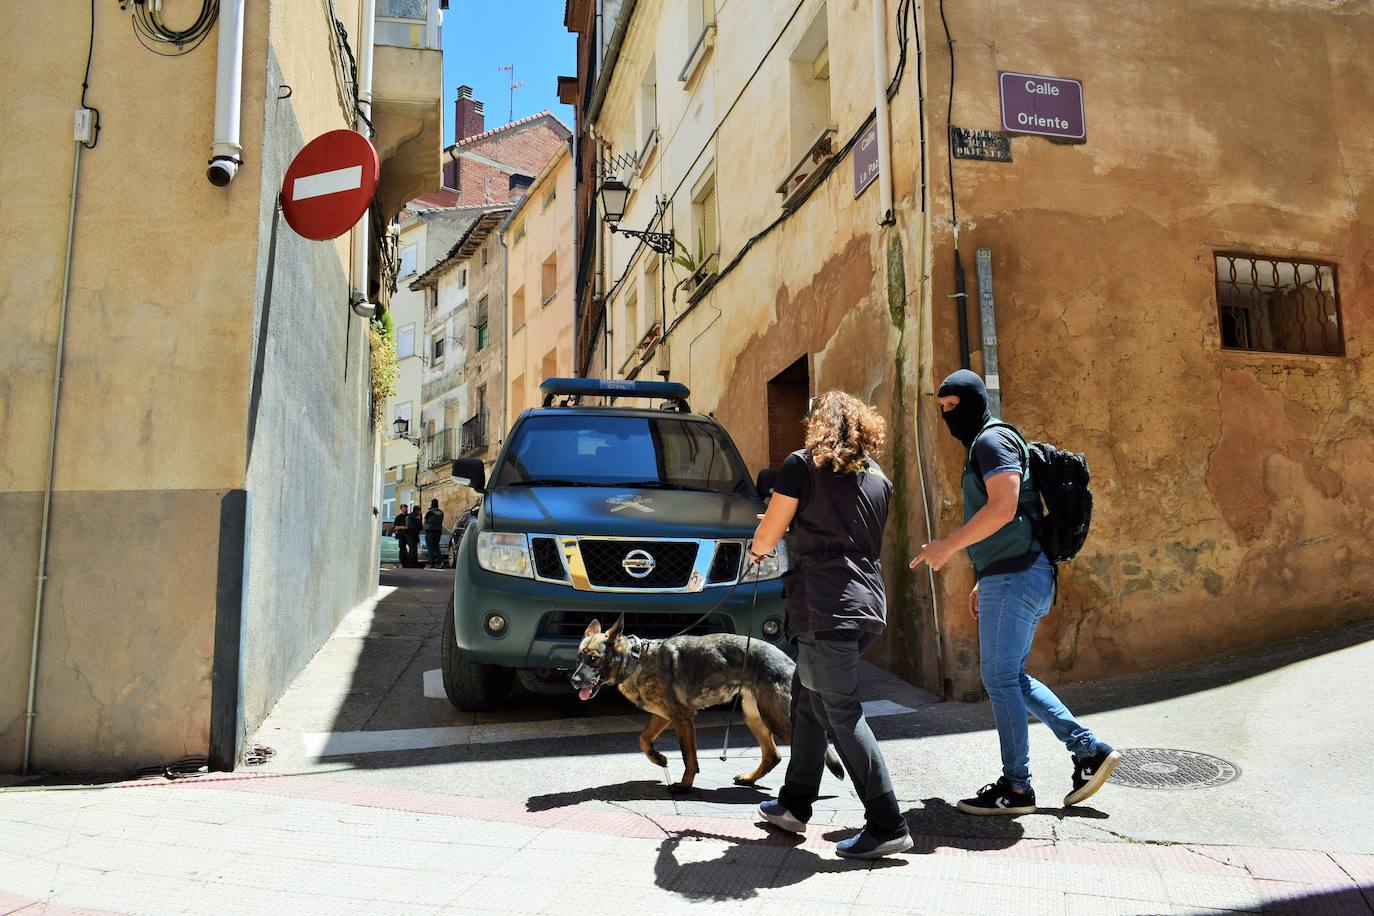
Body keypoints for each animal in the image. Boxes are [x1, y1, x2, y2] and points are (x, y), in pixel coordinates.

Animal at [566, 620, 840, 791]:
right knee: (773, 755)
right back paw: (750, 778)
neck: (635, 660)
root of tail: (788, 659)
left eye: (593, 659)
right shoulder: (664, 716)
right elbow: (643, 739)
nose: (573, 681)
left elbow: (689, 758)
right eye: (578, 659)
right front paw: (658, 758)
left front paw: (685, 786)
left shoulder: (682, 719)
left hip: (777, 719)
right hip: (755, 716)